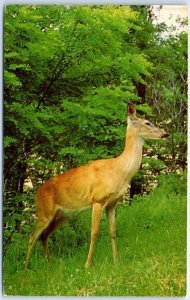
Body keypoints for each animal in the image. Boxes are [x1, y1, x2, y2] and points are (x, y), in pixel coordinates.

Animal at [24, 102, 168, 268]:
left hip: (62, 215)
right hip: (44, 212)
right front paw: (88, 264)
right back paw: (26, 267)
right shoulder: (98, 200)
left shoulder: (112, 203)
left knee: (44, 235)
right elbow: (94, 232)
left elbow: (113, 231)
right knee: (32, 235)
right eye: (147, 123)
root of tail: (36, 193)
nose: (165, 133)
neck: (119, 171)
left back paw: (49, 263)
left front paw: (116, 261)